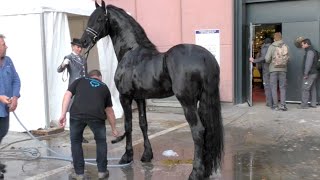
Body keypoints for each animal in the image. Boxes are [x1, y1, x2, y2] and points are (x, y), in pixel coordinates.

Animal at [81, 2, 224, 179]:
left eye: (100, 19)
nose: (83, 41)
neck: (131, 52)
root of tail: (205, 57)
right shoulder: (140, 98)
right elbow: (143, 124)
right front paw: (147, 155)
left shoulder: (125, 97)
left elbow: (128, 125)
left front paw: (127, 156)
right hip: (202, 100)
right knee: (207, 130)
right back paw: (206, 170)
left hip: (187, 102)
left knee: (198, 131)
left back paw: (196, 172)